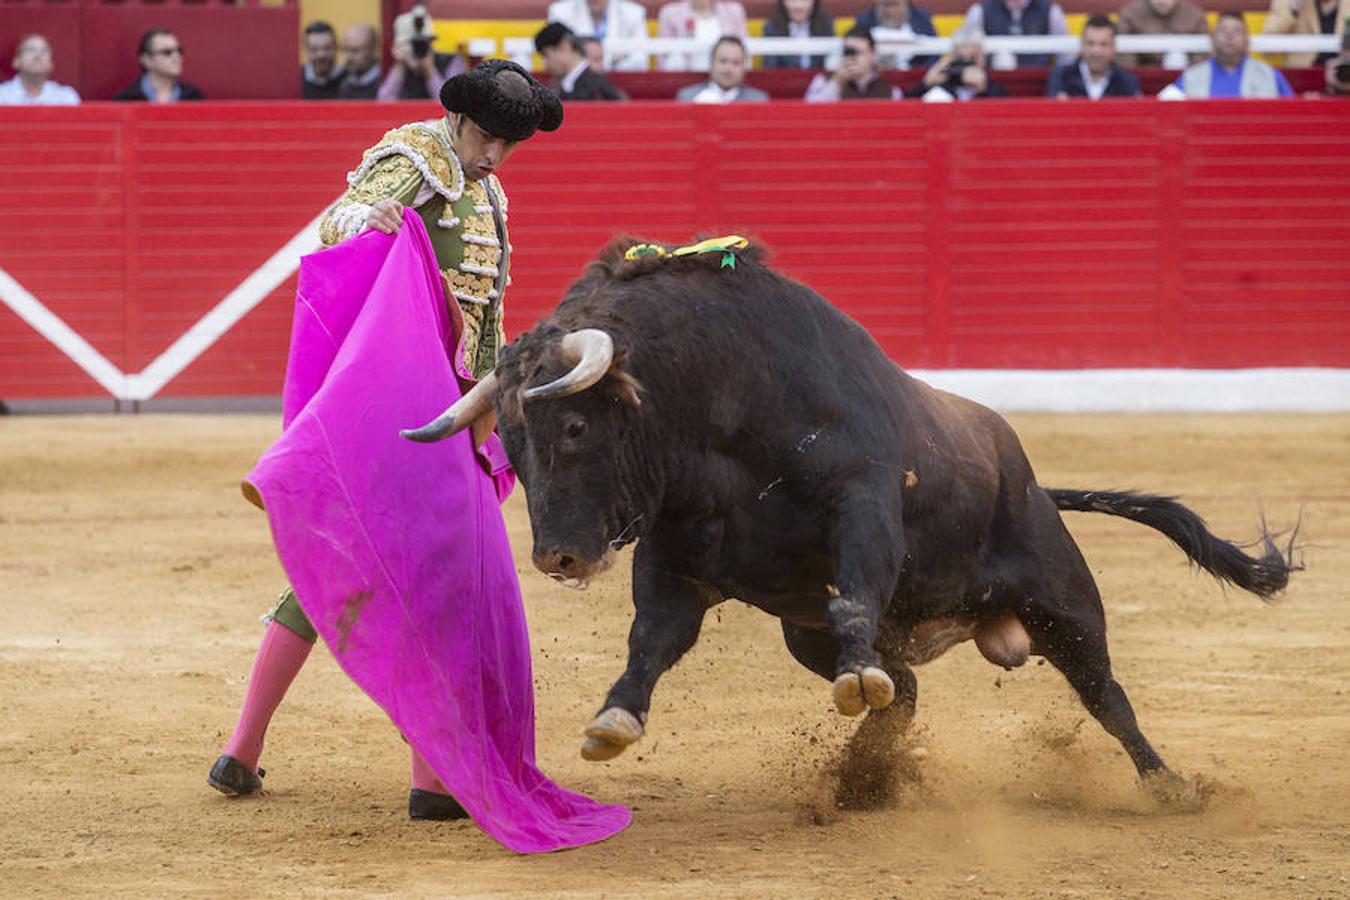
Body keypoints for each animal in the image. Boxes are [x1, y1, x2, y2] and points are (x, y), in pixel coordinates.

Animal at [399, 238, 1296, 793]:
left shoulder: (862, 507)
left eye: (577, 428)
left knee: (1105, 694)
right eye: (510, 443)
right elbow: (652, 639)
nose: (558, 559)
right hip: (806, 635)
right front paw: (613, 721)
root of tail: (1035, 482)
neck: (720, 405)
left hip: (1064, 601)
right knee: (905, 694)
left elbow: (857, 592)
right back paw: (866, 772)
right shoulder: (676, 554)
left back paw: (1168, 785)